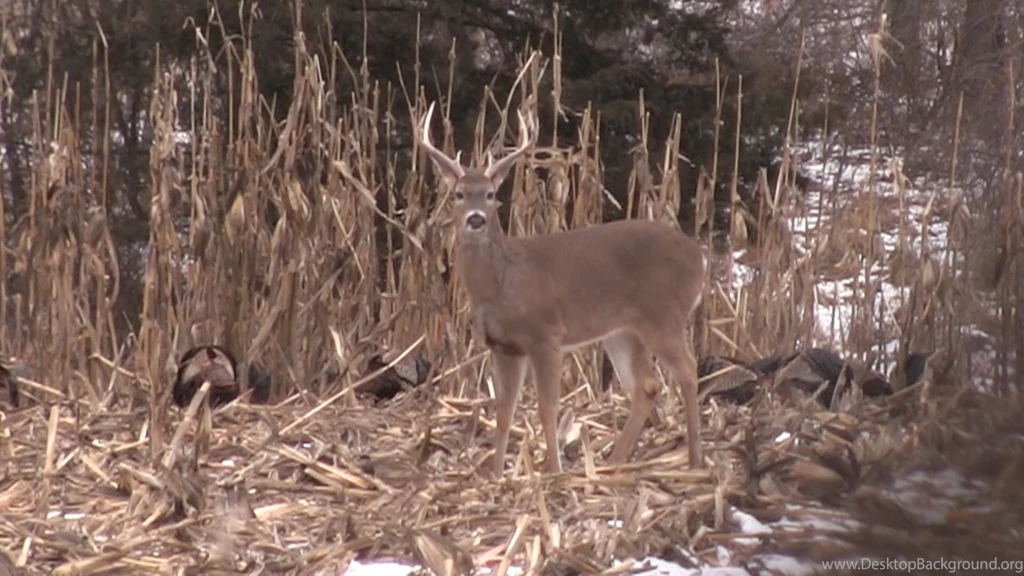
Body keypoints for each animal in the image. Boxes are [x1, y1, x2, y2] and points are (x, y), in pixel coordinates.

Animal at [418, 102, 705, 476]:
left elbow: (547, 408)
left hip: (663, 315)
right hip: (623, 331)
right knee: (647, 385)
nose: (476, 218)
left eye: (492, 194)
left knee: (689, 369)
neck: (501, 284)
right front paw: (496, 474)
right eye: (458, 194)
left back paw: (694, 458)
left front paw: (553, 470)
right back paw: (612, 462)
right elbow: (503, 413)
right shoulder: (505, 347)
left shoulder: (547, 335)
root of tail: (700, 259)